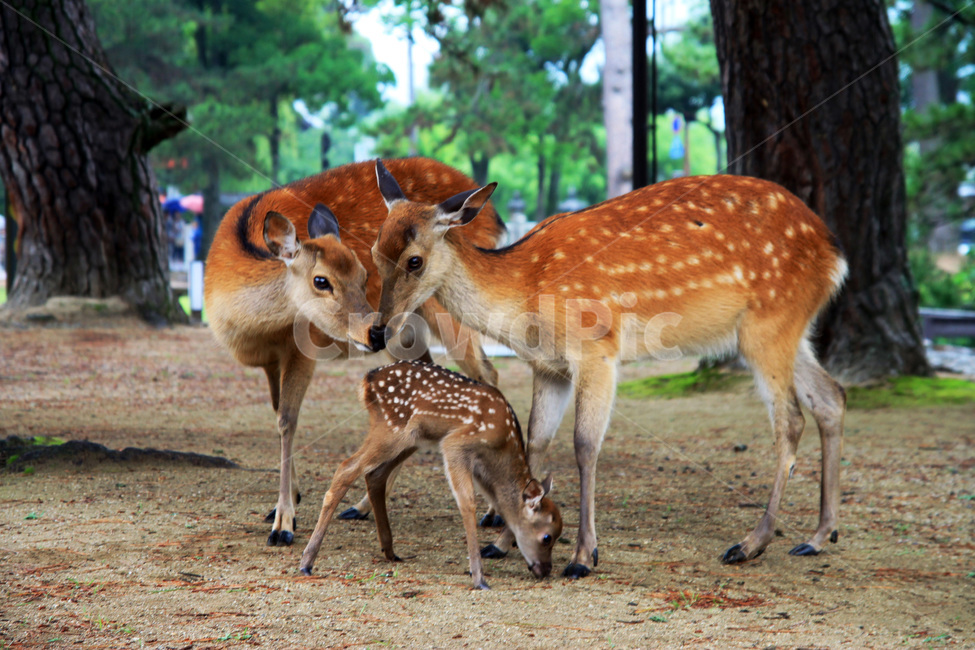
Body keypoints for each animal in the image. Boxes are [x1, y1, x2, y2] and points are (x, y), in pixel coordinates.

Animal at [205, 158, 506, 548]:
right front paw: (287, 502)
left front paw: (284, 524)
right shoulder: (270, 361)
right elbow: (278, 413)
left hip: (445, 307)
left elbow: (288, 419)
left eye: (364, 277)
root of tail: (494, 219)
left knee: (485, 372)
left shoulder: (302, 347)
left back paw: (493, 512)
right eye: (321, 280)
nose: (374, 332)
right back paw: (362, 505)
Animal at [299, 360, 563, 590]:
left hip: (411, 438)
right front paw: (479, 578)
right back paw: (307, 562)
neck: (502, 447)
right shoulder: (455, 444)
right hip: (393, 428)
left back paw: (390, 552)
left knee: (375, 475)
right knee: (346, 468)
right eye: (547, 537)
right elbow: (467, 502)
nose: (546, 570)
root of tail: (368, 379)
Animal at [369, 160, 848, 578]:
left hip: (768, 323)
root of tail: (835, 253)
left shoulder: (596, 349)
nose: (377, 331)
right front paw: (503, 543)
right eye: (373, 250)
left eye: (414, 260)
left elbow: (584, 446)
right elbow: (536, 440)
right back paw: (818, 536)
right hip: (790, 328)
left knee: (791, 420)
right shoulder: (549, 367)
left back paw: (751, 543)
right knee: (831, 398)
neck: (525, 293)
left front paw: (584, 555)